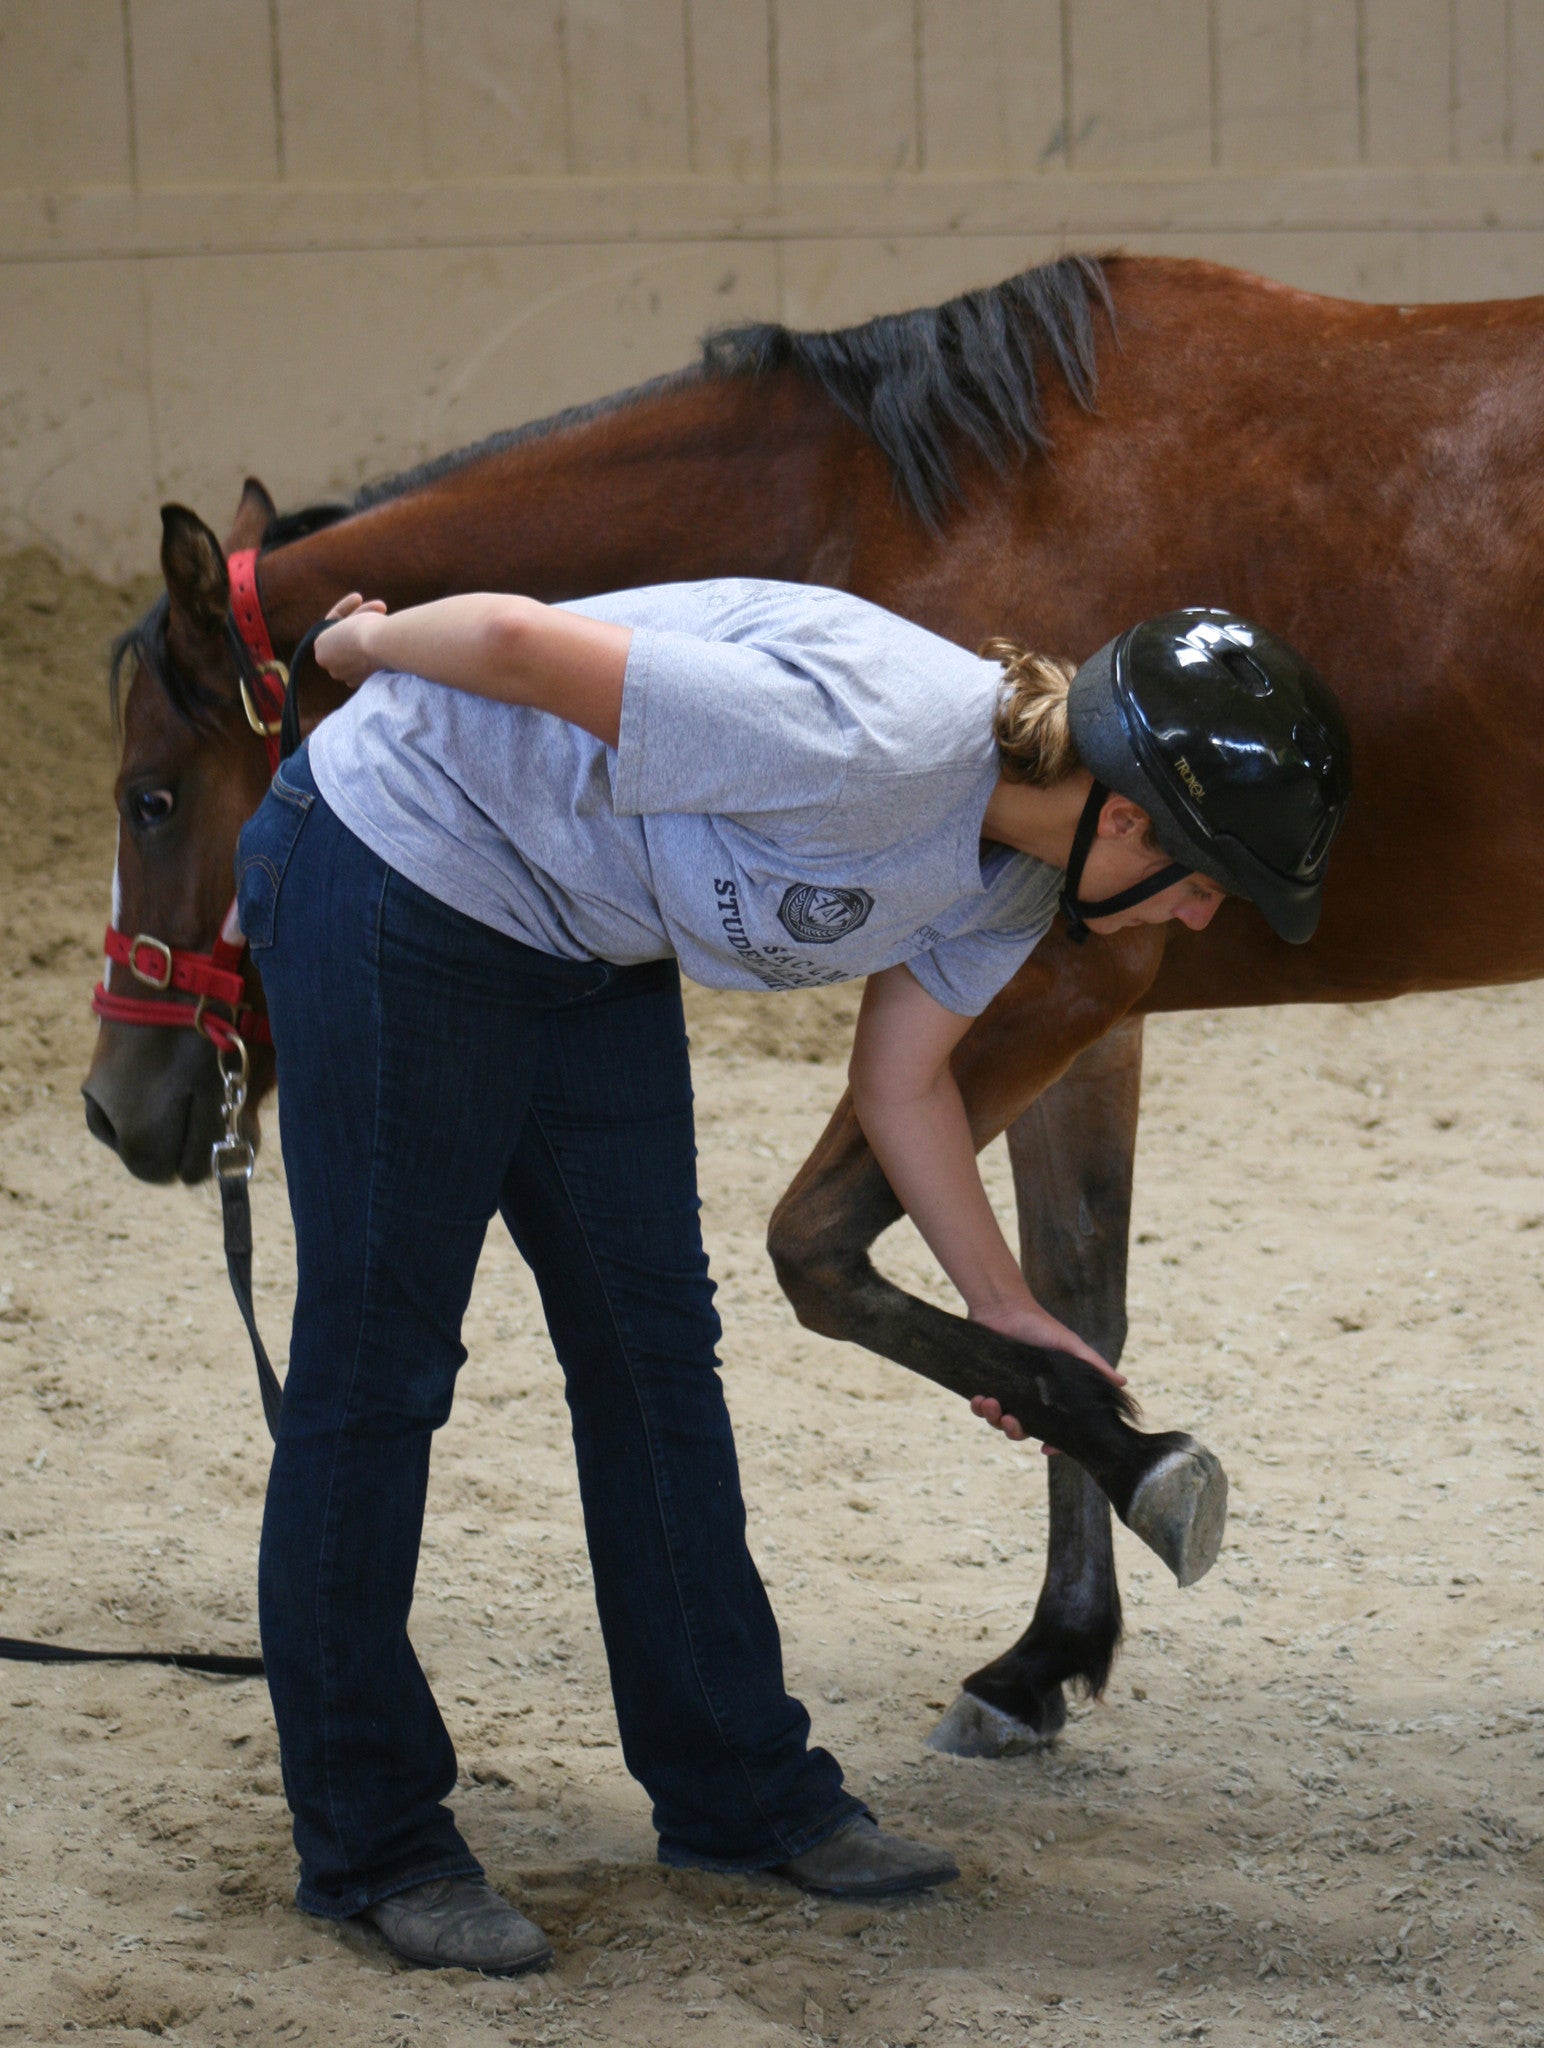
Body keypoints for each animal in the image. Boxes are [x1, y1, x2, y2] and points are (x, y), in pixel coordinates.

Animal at [81, 256, 1539, 1761]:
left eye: (153, 798)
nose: (114, 1102)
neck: (898, 504)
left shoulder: (1055, 979)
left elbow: (817, 1251)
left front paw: (1132, 1461)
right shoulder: (1082, 999)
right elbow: (1070, 1288)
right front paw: (1049, 1647)